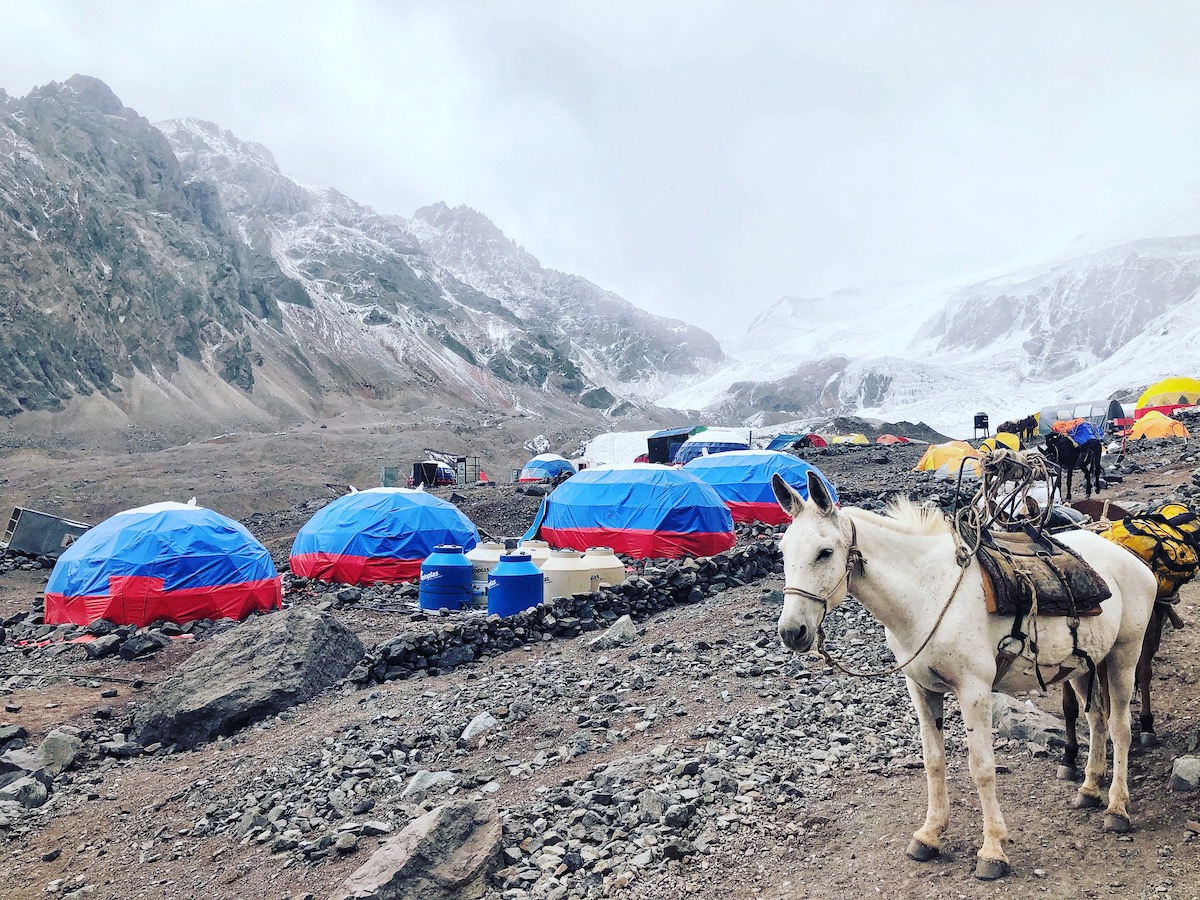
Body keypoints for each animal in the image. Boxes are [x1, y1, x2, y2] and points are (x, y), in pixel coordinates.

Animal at [771, 471, 1157, 880]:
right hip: (1082, 666)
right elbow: (934, 761)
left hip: (1123, 656)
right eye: (783, 553)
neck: (929, 593)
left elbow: (982, 767)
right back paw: (1088, 789)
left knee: (1119, 728)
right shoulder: (922, 689)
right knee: (1097, 720)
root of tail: (1131, 560)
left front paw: (992, 851)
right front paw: (929, 835)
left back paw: (1117, 808)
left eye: (825, 552)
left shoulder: (974, 691)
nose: (792, 632)